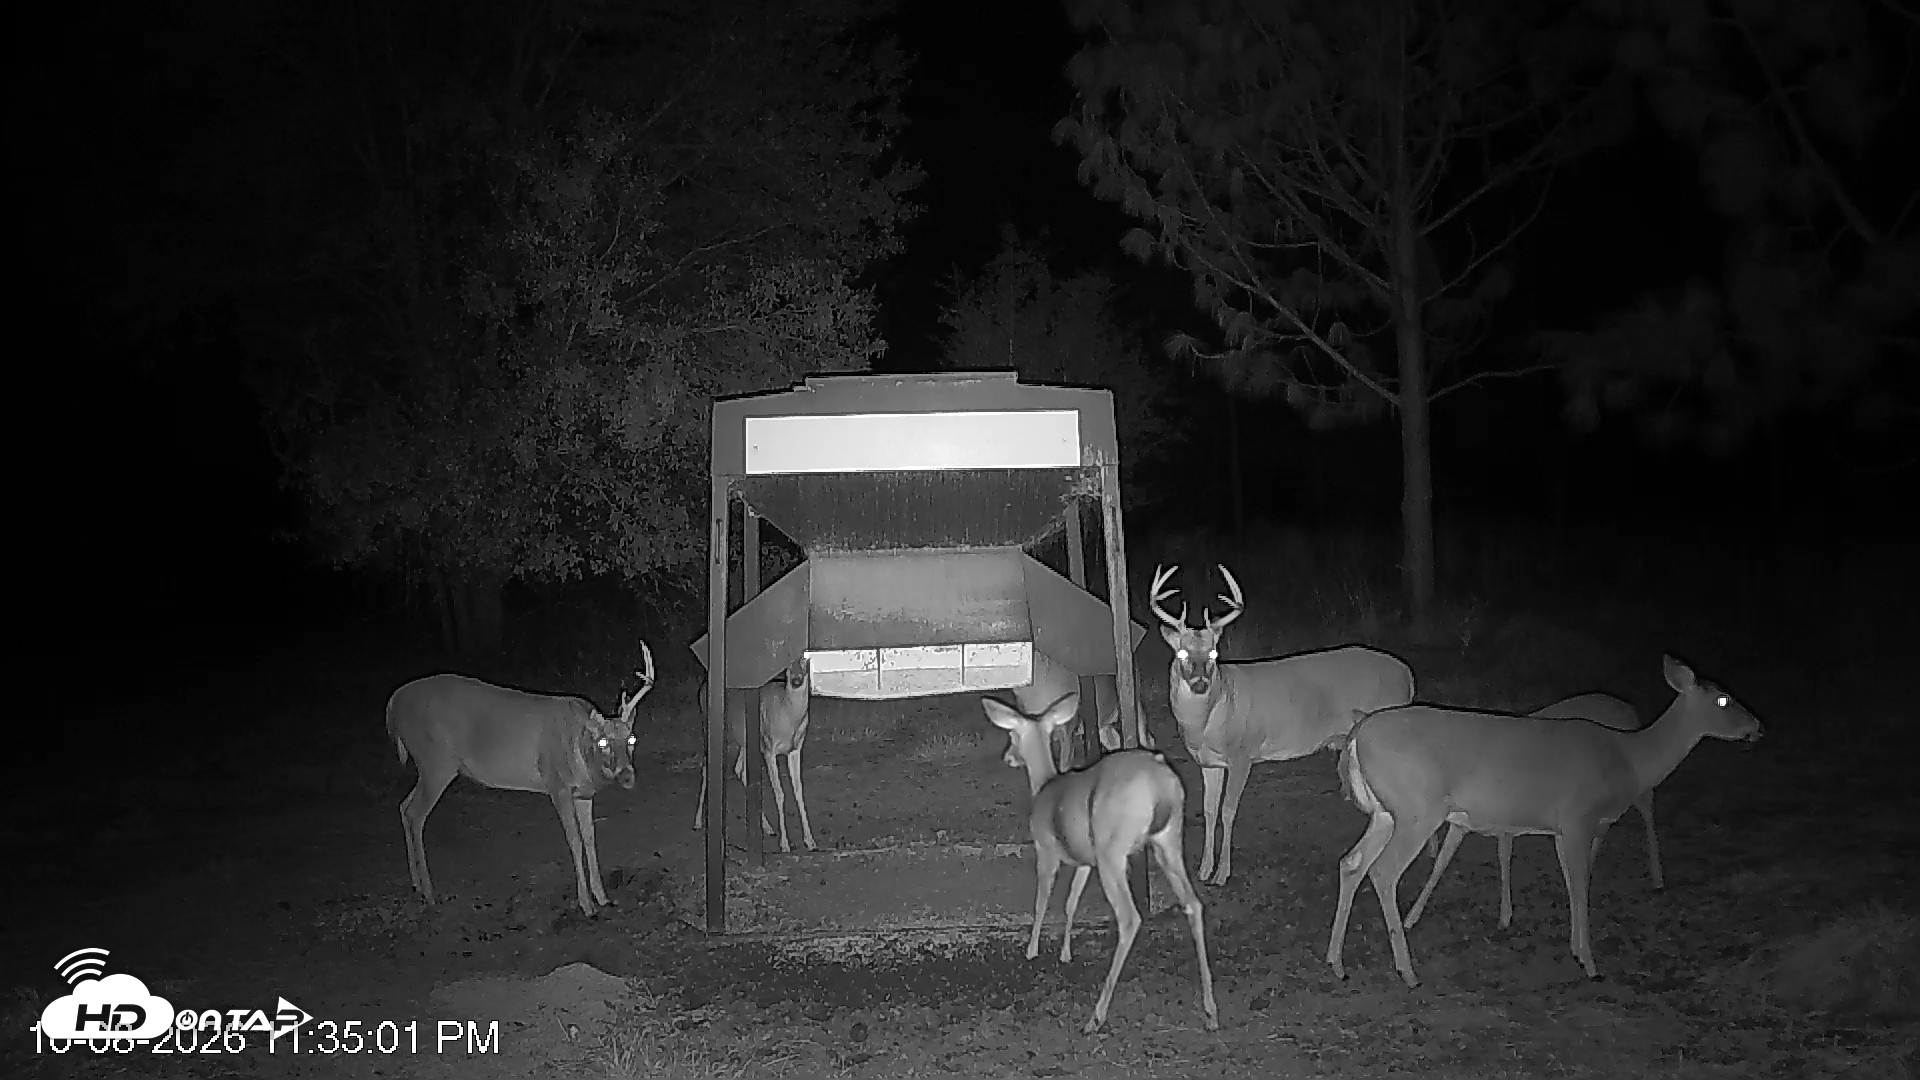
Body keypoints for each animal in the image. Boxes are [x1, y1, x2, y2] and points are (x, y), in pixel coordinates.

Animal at [386, 643, 655, 918]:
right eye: (603, 742)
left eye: (632, 739)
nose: (627, 775)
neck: (579, 749)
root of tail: (392, 705)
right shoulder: (556, 784)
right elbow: (575, 841)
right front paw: (586, 905)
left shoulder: (583, 794)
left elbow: (590, 839)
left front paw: (602, 897)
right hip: (436, 762)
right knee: (415, 814)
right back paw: (429, 893)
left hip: (428, 768)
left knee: (403, 806)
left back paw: (416, 885)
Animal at [692, 657, 817, 852]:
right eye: (787, 666)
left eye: (805, 662)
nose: (796, 680)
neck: (789, 718)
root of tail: (704, 686)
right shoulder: (769, 748)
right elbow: (779, 793)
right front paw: (785, 843)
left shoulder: (795, 749)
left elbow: (798, 790)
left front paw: (810, 840)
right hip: (711, 728)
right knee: (706, 767)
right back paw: (697, 822)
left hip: (744, 740)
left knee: (739, 769)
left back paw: (767, 827)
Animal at [983, 692, 1218, 1034]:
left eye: (1012, 735)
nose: (1008, 756)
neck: (1044, 786)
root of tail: (1162, 786)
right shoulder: (1086, 861)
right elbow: (1070, 902)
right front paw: (1065, 953)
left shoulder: (1046, 850)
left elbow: (1042, 900)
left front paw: (1031, 950)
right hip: (1168, 840)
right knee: (1194, 904)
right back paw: (1211, 1011)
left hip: (1113, 851)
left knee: (1130, 918)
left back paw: (1095, 1016)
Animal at [1150, 563, 1415, 886]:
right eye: (1182, 652)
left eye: (1213, 652)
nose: (1200, 683)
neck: (1212, 717)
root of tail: (1407, 675)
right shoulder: (1209, 763)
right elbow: (1209, 810)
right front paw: (1203, 869)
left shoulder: (1242, 755)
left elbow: (1228, 811)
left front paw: (1222, 873)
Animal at [1402, 692, 1663, 931]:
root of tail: (1627, 707)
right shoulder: (1468, 823)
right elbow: (1442, 862)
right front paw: (1412, 917)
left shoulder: (1506, 818)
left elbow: (1503, 856)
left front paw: (1505, 915)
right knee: (1604, 827)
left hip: (1635, 784)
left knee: (1648, 811)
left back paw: (1657, 876)